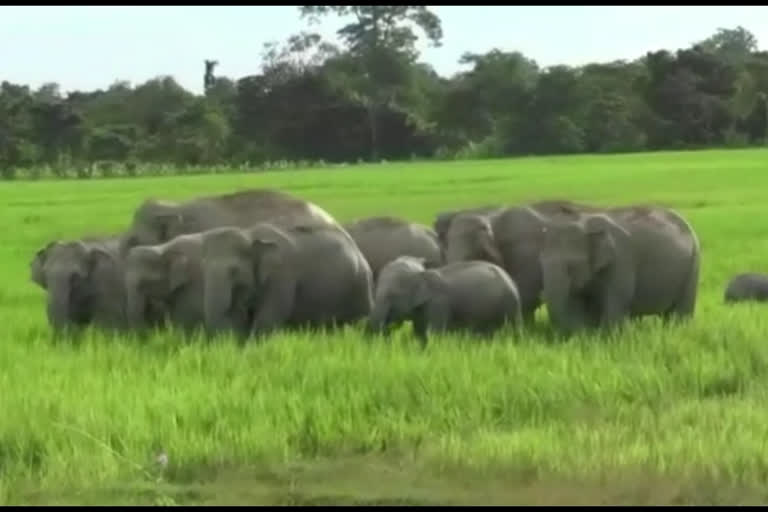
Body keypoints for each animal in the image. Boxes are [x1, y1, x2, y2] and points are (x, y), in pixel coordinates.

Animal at [201, 221, 376, 338]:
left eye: (234, 271)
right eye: (204, 267)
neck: (250, 235)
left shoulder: (282, 278)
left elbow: (267, 320)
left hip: (359, 286)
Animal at [364, 256, 520, 344]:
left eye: (393, 295)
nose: (387, 329)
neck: (421, 274)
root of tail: (510, 278)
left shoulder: (439, 304)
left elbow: (434, 334)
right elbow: (420, 334)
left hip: (510, 303)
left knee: (511, 329)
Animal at [536, 206, 700, 334]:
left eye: (572, 266)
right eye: (540, 263)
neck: (585, 223)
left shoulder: (621, 261)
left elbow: (615, 303)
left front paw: (606, 339)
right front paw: (587, 337)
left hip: (694, 264)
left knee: (680, 313)